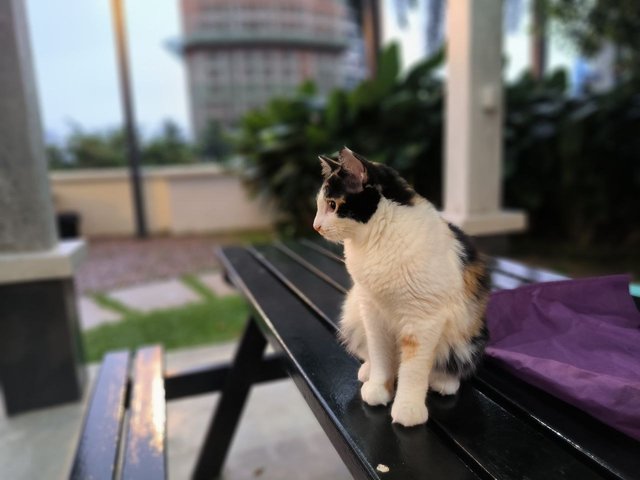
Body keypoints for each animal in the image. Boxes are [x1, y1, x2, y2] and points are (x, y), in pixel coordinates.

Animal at [314, 146, 490, 428]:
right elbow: (380, 354)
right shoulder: (371, 308)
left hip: (469, 334)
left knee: (448, 364)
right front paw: (378, 388)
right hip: (353, 312)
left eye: (332, 205)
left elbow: (414, 368)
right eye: (320, 206)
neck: (377, 238)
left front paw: (408, 409)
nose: (316, 226)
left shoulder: (423, 319)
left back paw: (444, 381)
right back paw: (367, 371)